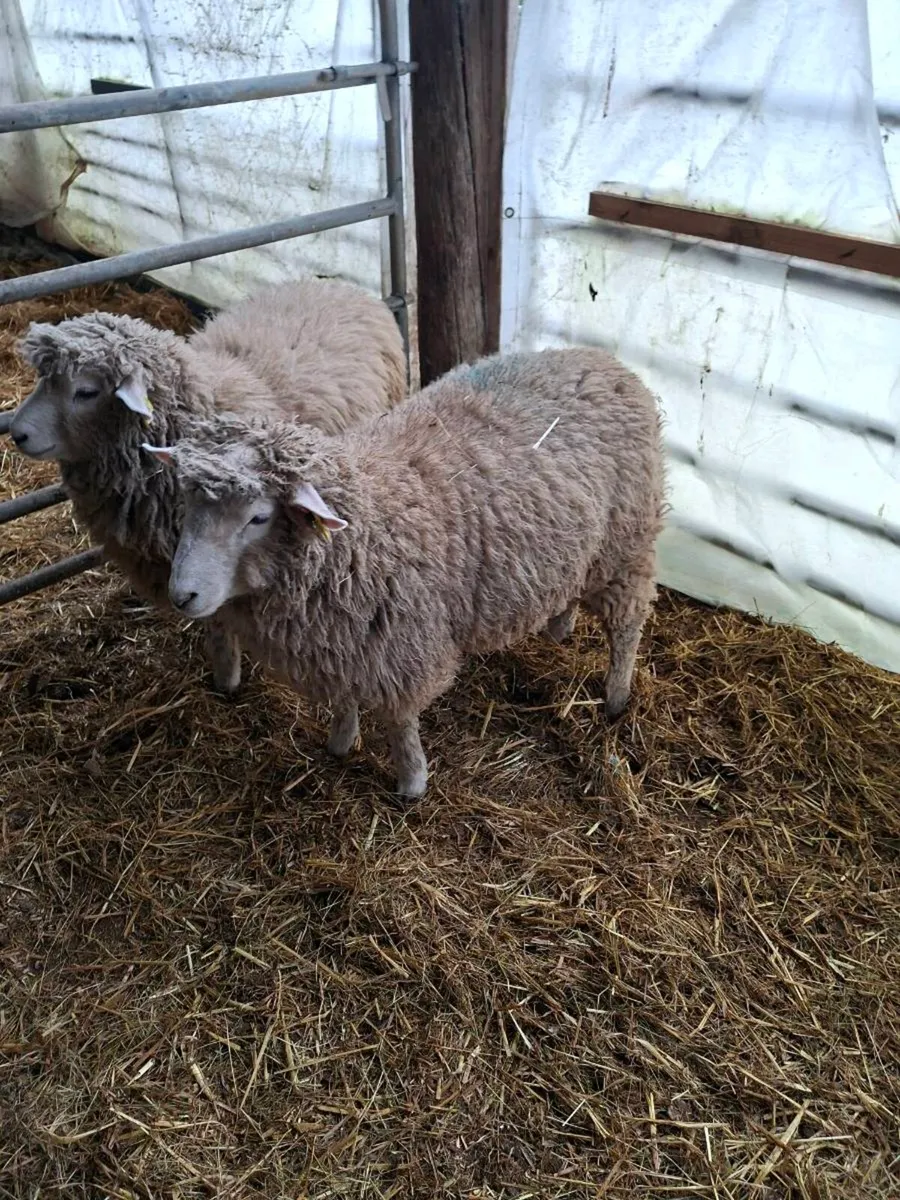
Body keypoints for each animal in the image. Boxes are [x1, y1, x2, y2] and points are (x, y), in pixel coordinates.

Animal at [145, 346, 664, 796]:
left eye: (258, 517)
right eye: (187, 501)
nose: (182, 595)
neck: (357, 530)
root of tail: (604, 361)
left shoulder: (400, 648)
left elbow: (399, 722)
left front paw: (412, 784)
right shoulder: (343, 641)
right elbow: (345, 698)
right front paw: (340, 744)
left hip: (626, 546)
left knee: (627, 629)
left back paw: (616, 698)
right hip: (581, 551)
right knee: (573, 593)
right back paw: (560, 629)